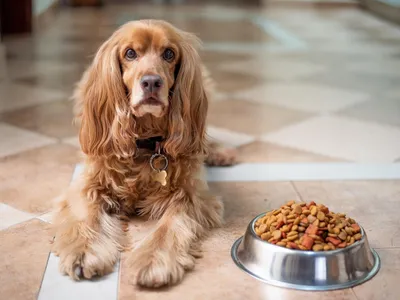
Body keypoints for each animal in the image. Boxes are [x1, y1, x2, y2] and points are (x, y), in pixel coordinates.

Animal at [51, 19, 236, 288]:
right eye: (130, 53)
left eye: (169, 54)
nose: (151, 82)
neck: (145, 143)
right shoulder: (88, 185)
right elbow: (88, 216)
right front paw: (84, 252)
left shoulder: (191, 196)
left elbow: (168, 227)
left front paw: (153, 261)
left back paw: (219, 152)